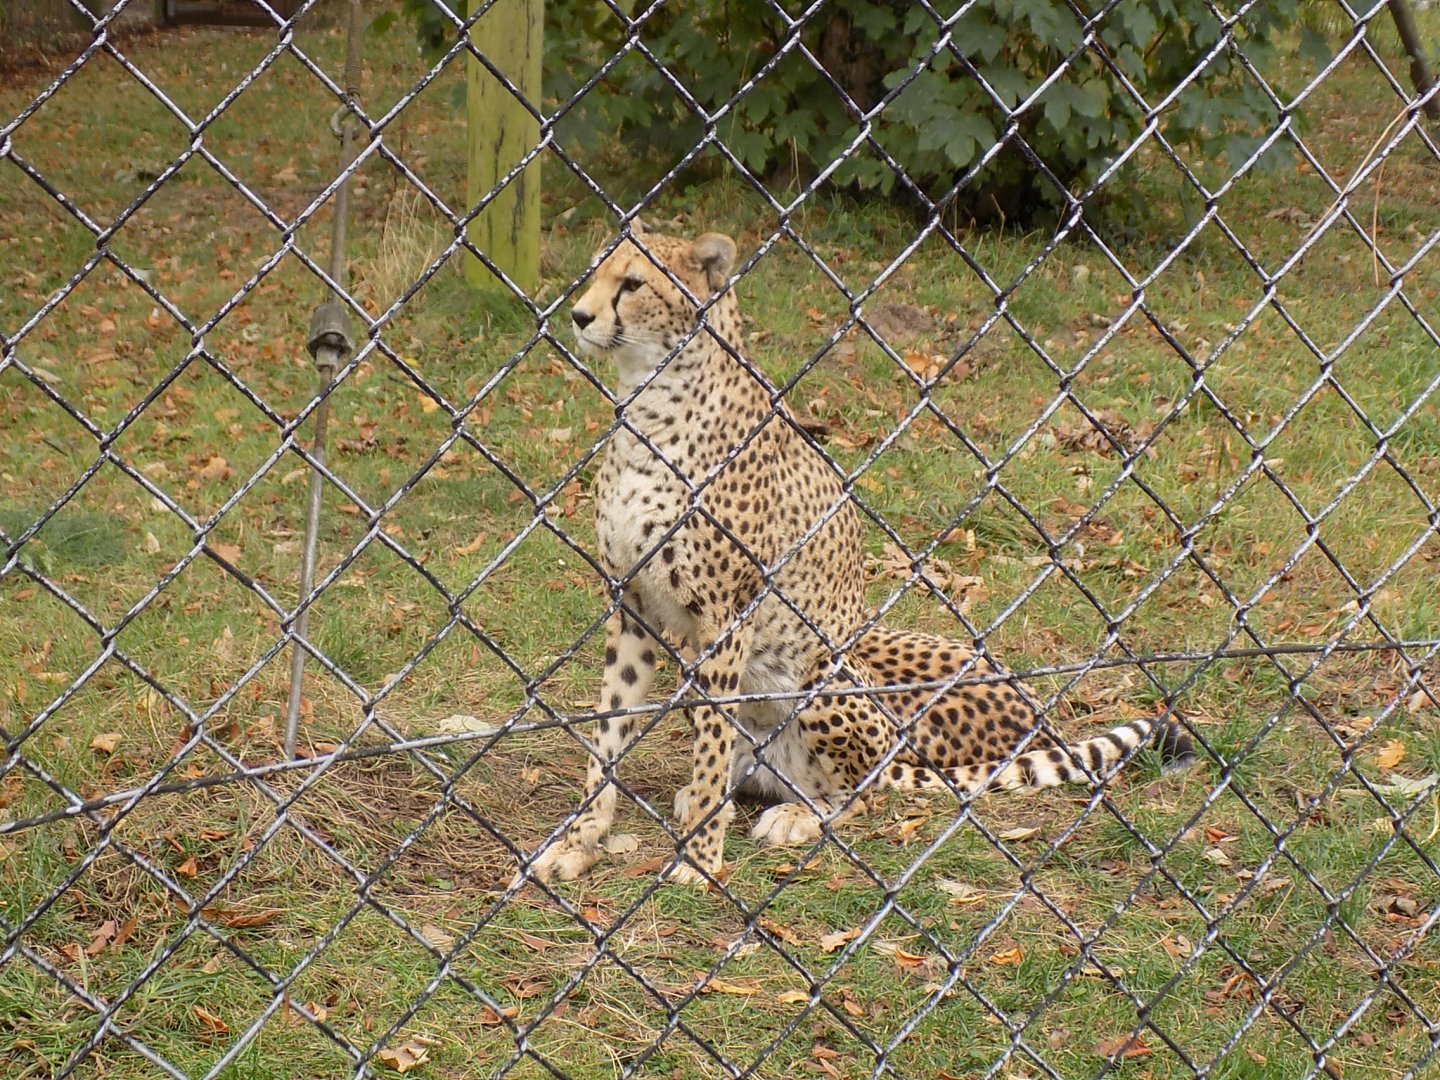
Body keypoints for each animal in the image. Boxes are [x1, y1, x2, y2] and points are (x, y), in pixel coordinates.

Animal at [516, 221, 1195, 888]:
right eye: (595, 273)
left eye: (632, 283)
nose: (578, 315)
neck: (651, 404)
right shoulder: (630, 604)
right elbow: (608, 732)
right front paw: (580, 841)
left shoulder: (725, 618)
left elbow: (709, 748)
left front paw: (701, 858)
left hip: (825, 674)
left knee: (856, 796)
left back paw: (797, 815)